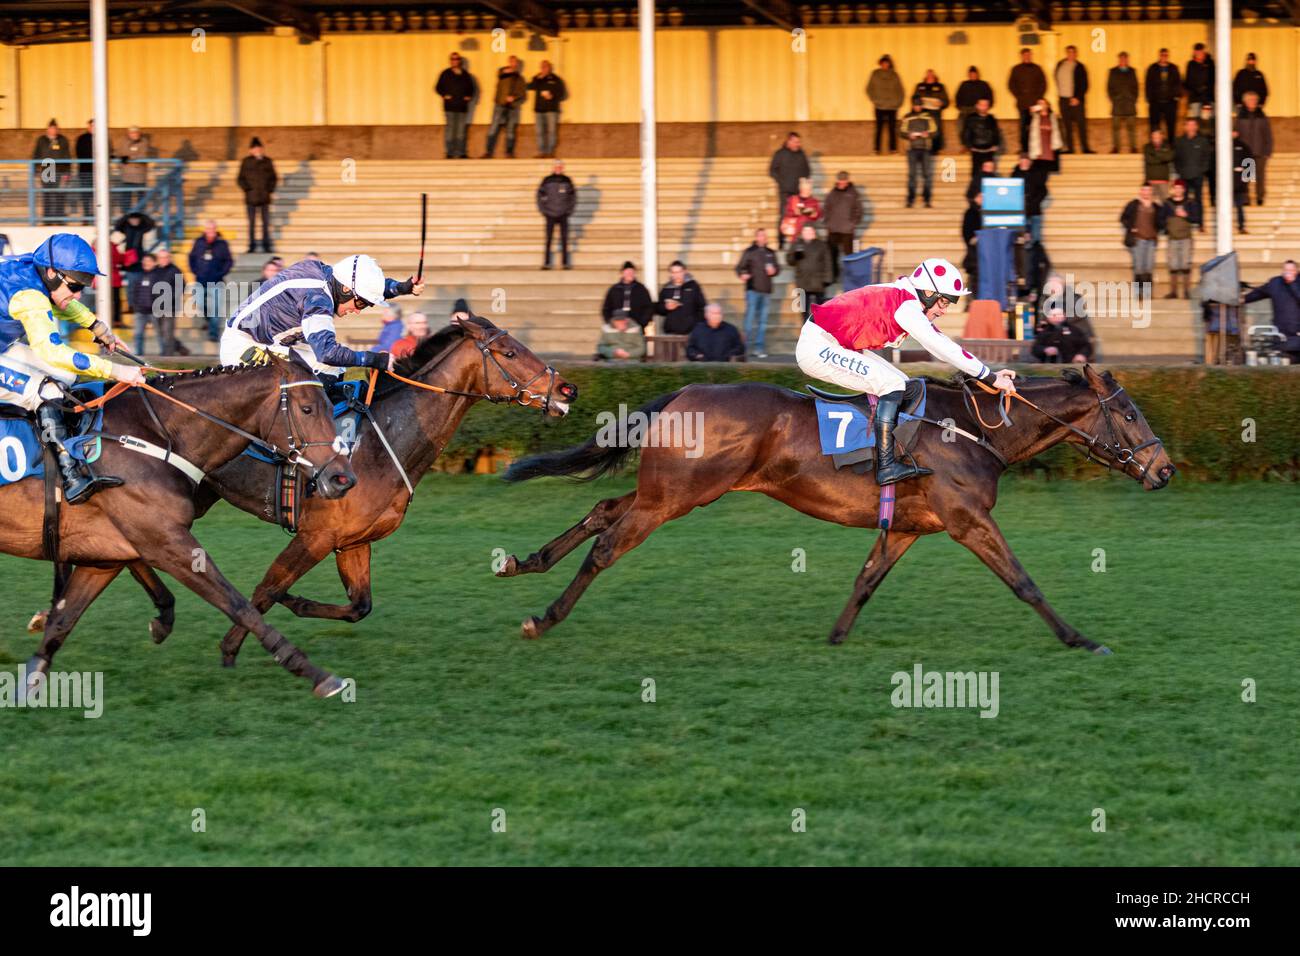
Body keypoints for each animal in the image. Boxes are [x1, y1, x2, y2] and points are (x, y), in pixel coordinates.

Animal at [2, 356, 358, 697]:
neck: (151, 436)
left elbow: (63, 620)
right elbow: (239, 605)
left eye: (331, 407)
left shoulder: (105, 555)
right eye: (307, 408)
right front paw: (316, 674)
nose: (343, 478)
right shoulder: (168, 543)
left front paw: (27, 685)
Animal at [104, 317, 582, 671]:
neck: (381, 438)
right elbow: (267, 588)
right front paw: (232, 648)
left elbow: (359, 606)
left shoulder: (353, 541)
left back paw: (160, 614)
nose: (568, 388)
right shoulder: (317, 536)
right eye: (510, 352)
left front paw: (296, 603)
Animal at [491, 364, 1175, 650]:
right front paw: (1080, 639)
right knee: (608, 544)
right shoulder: (968, 521)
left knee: (603, 509)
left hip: (666, 490)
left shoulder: (911, 526)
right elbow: (1024, 582)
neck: (973, 431)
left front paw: (837, 635)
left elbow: (867, 579)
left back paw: (525, 563)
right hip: (676, 497)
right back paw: (545, 617)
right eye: (1129, 413)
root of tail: (682, 390)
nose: (1165, 470)